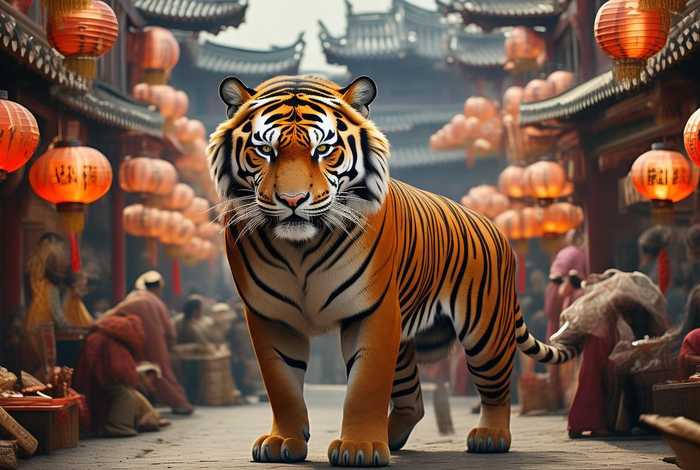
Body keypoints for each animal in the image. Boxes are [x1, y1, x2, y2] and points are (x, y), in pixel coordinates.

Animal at [207, 75, 578, 467]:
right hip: (408, 339)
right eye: (265, 150)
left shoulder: (373, 311)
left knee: (496, 388)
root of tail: (496, 228)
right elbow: (282, 384)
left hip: (486, 330)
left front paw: (359, 448)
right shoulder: (271, 316)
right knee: (413, 400)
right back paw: (392, 436)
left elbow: (366, 383)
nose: (292, 201)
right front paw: (283, 442)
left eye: (323, 150)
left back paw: (490, 436)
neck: (300, 250)